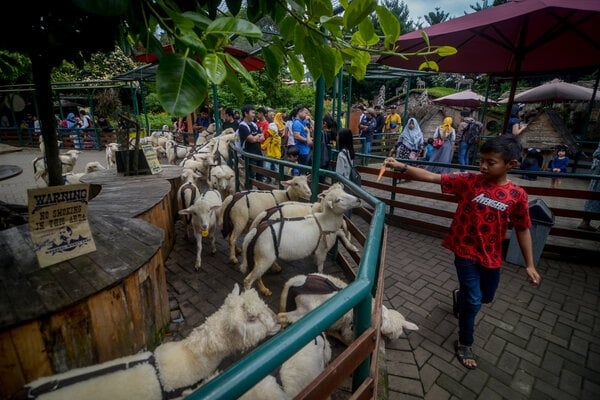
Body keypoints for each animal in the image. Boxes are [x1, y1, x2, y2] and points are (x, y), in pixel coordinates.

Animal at [278, 274, 420, 346]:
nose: (390, 341)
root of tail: (297, 280)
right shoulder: (350, 332)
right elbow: (347, 340)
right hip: (305, 311)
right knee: (283, 317)